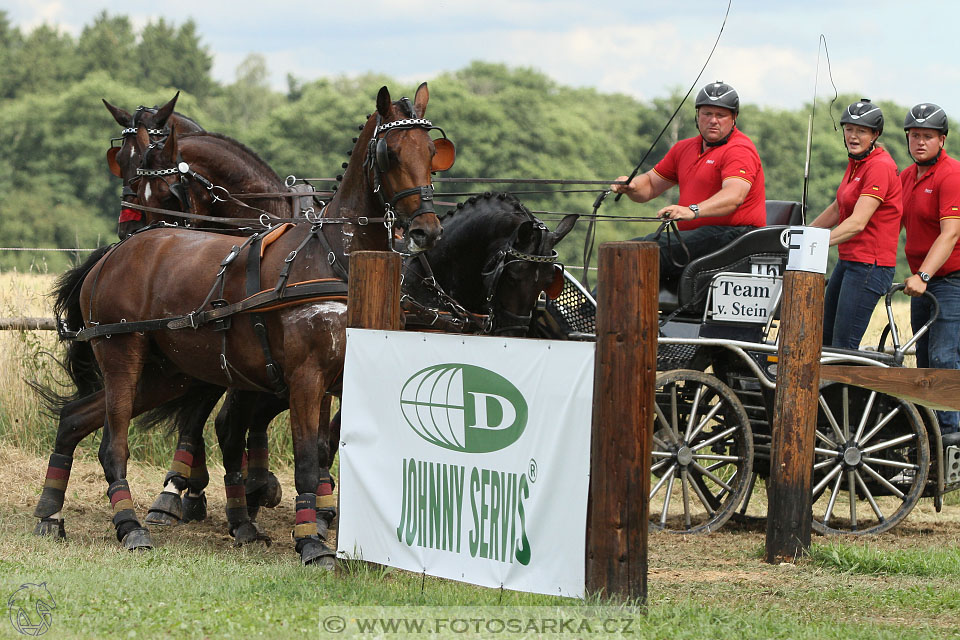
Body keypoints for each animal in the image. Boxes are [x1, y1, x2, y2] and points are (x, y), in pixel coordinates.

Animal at [32, 84, 446, 564]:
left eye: (431, 150)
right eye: (390, 153)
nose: (427, 230)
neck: (335, 256)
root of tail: (114, 256)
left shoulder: (340, 379)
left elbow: (339, 447)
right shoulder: (306, 377)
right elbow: (307, 458)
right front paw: (309, 540)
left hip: (167, 374)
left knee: (73, 419)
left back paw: (50, 512)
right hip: (124, 358)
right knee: (112, 445)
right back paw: (131, 525)